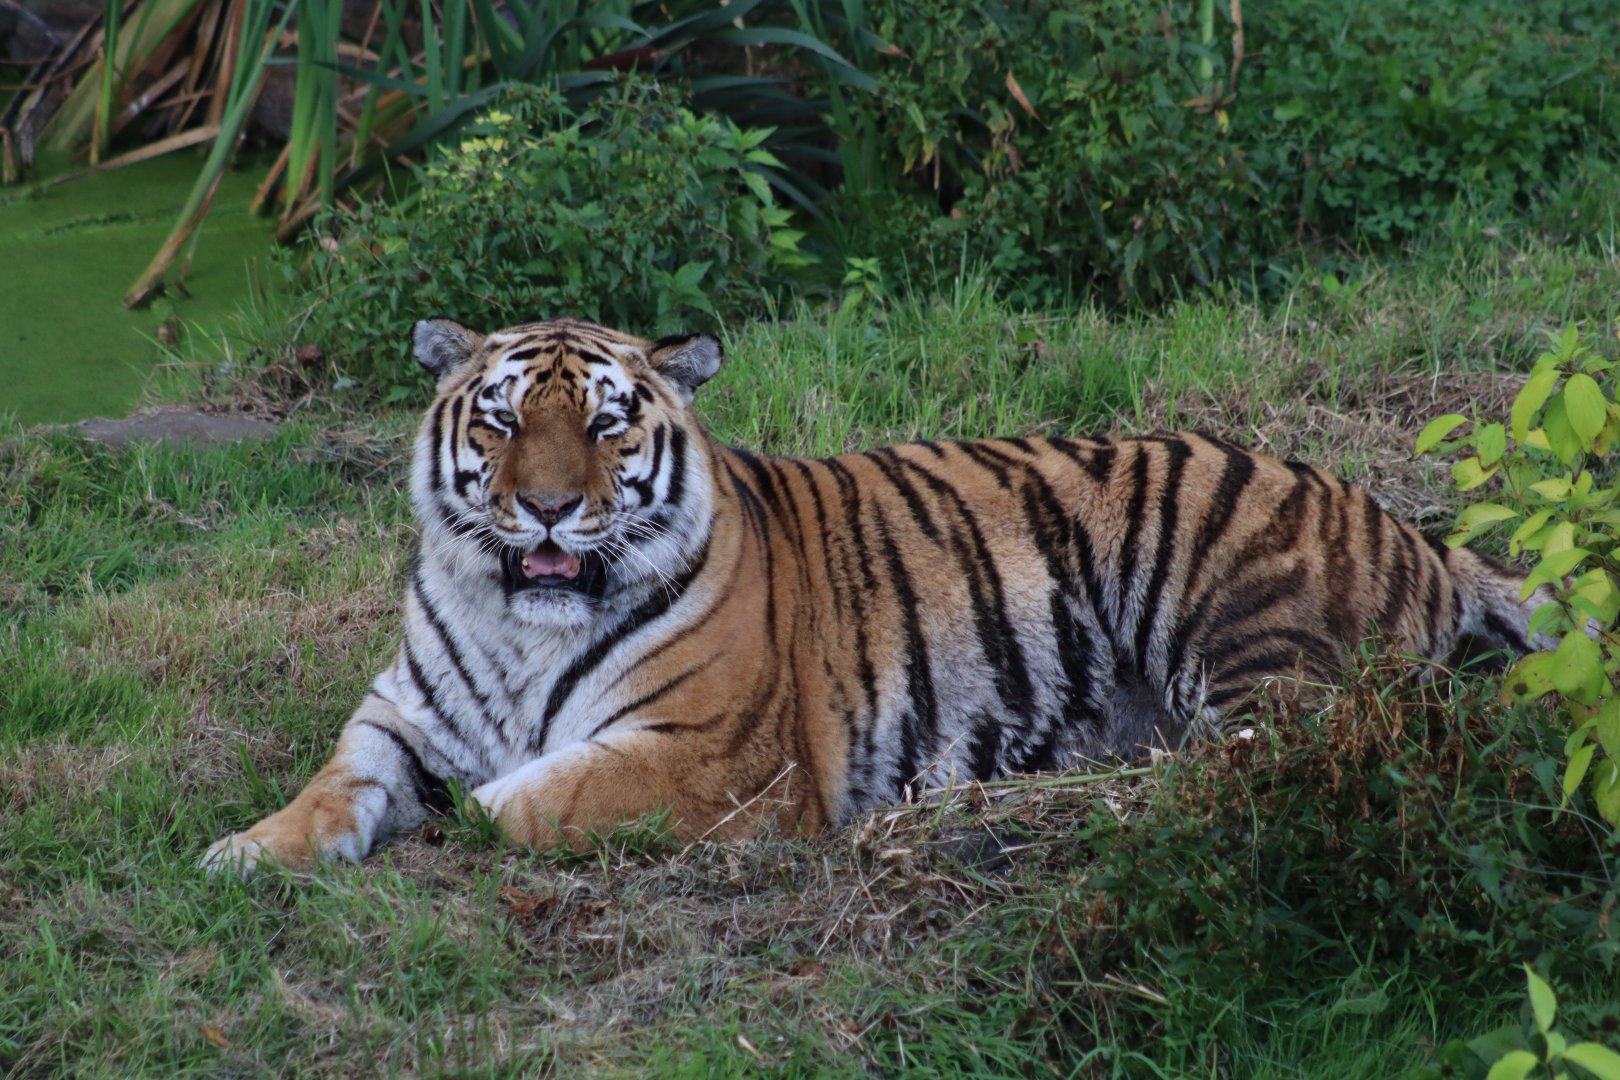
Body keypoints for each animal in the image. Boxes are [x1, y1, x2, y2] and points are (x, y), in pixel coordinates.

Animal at [202, 316, 1549, 874]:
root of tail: (1421, 536)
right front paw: (245, 851)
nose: (540, 508)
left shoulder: (707, 755)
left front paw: (464, 822)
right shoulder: (399, 720)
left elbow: (527, 799)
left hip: (1229, 605)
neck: (518, 622)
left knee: (1258, 762)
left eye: (604, 424)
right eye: (497, 420)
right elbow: (332, 790)